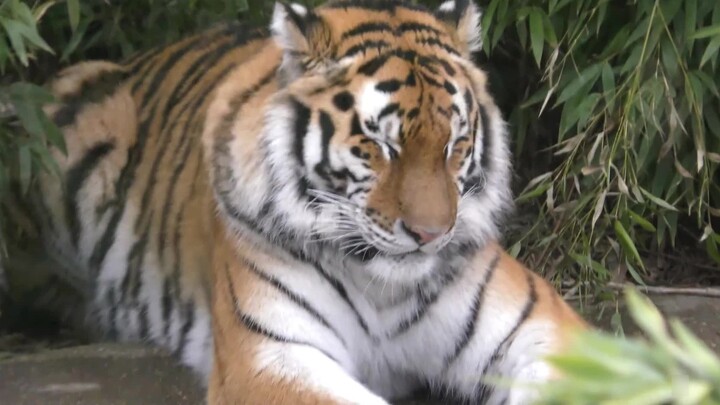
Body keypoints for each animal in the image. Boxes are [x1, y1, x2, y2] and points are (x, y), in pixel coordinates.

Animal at [17, 0, 588, 403]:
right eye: (380, 146)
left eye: (455, 144)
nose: (430, 235)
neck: (381, 283)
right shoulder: (272, 356)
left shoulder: (546, 332)